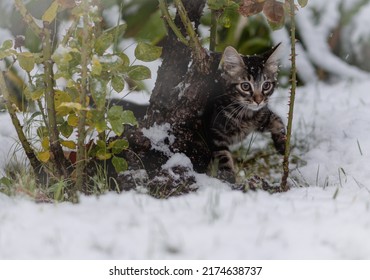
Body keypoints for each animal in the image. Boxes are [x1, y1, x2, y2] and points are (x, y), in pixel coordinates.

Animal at [202, 43, 286, 182]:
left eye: (266, 85)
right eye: (245, 86)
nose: (258, 101)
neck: (245, 115)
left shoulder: (263, 115)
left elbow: (278, 121)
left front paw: (283, 144)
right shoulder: (214, 133)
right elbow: (222, 156)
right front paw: (228, 178)